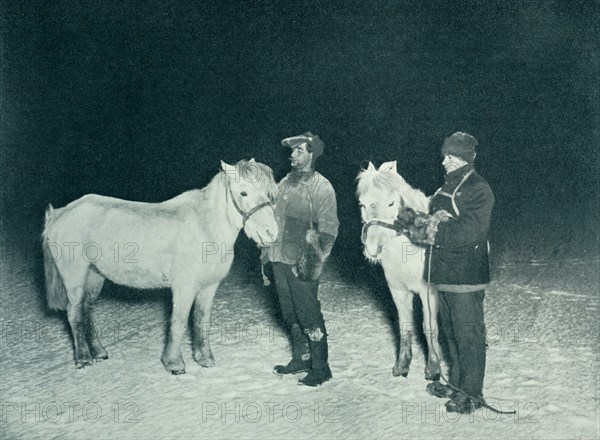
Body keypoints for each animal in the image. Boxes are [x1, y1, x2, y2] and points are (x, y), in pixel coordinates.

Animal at [44, 160, 278, 372]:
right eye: (243, 193)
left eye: (268, 193)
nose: (270, 232)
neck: (204, 227)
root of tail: (59, 214)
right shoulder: (184, 287)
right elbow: (179, 322)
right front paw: (174, 363)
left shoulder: (209, 287)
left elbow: (201, 320)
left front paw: (204, 358)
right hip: (74, 277)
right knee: (74, 313)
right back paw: (83, 359)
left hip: (94, 276)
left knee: (87, 311)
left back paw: (99, 352)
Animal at [356, 160, 440, 380]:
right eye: (362, 204)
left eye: (392, 203)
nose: (371, 248)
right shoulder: (398, 292)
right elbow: (405, 327)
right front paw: (402, 366)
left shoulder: (428, 292)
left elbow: (429, 326)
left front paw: (433, 369)